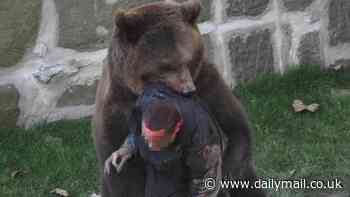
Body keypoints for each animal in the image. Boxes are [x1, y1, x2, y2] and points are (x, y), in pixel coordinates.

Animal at [93, 0, 266, 196]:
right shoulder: (116, 109)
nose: (188, 90)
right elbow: (123, 173)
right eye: (166, 65)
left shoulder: (207, 83)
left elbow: (235, 125)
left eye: (188, 59)